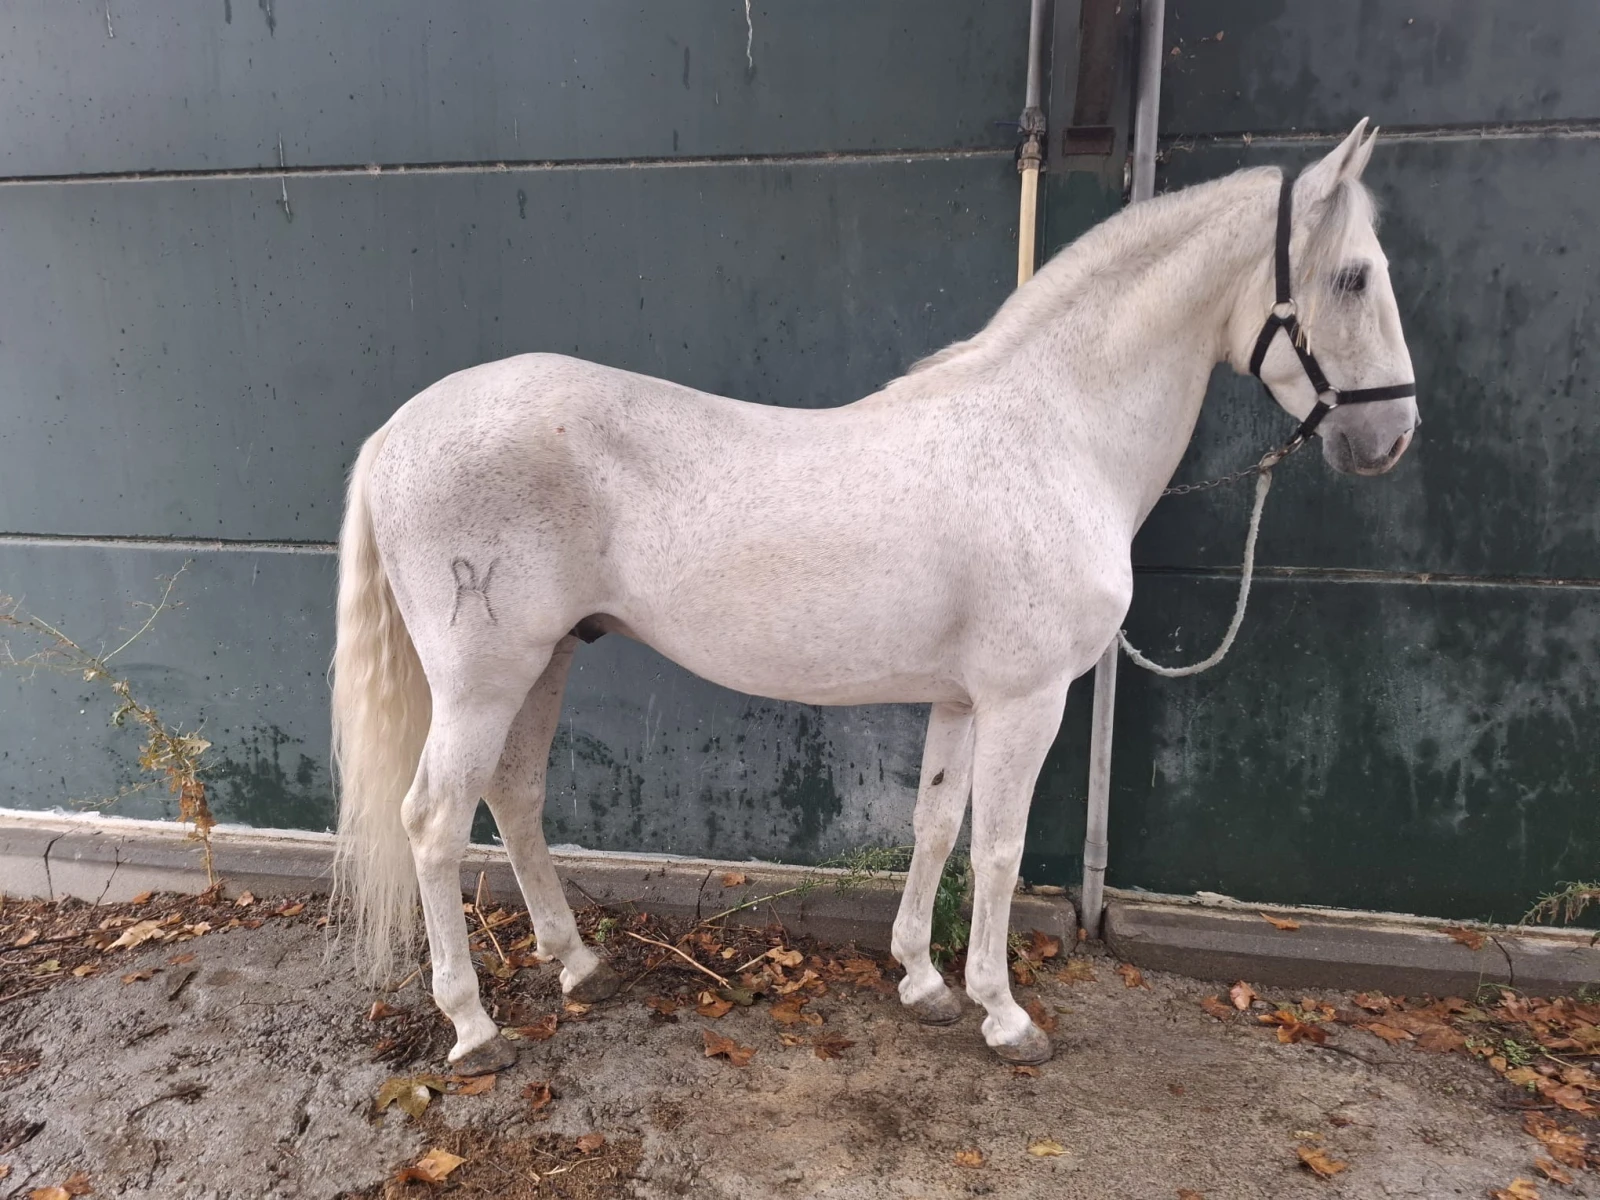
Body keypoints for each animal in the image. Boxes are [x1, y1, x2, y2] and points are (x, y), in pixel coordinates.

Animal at [330, 120, 1418, 1072]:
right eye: (1354, 276)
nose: (1392, 438)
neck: (1055, 430)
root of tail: (397, 430)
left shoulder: (961, 700)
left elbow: (936, 825)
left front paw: (923, 982)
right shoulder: (1028, 700)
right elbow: (999, 847)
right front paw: (1005, 1016)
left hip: (547, 656)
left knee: (513, 794)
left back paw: (578, 966)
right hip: (483, 676)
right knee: (433, 821)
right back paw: (473, 1029)